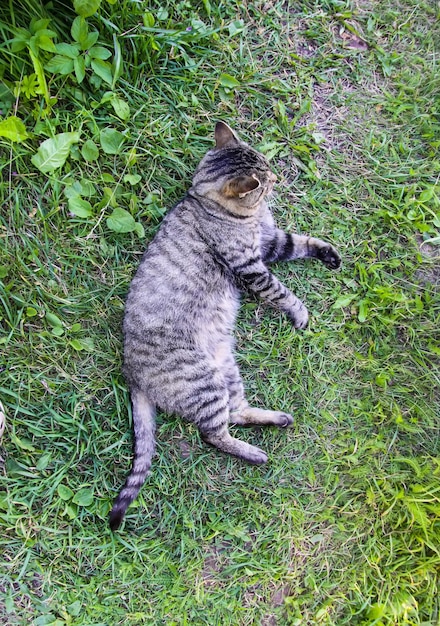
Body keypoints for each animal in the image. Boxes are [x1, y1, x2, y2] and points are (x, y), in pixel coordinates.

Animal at [109, 120, 340, 528]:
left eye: (269, 168)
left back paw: (276, 419)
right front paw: (299, 312)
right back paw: (255, 453)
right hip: (203, 382)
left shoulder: (272, 243)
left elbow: (304, 241)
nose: (278, 177)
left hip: (226, 369)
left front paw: (329, 254)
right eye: (263, 181)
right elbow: (282, 292)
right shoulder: (251, 265)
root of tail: (130, 372)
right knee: (213, 433)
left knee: (236, 411)